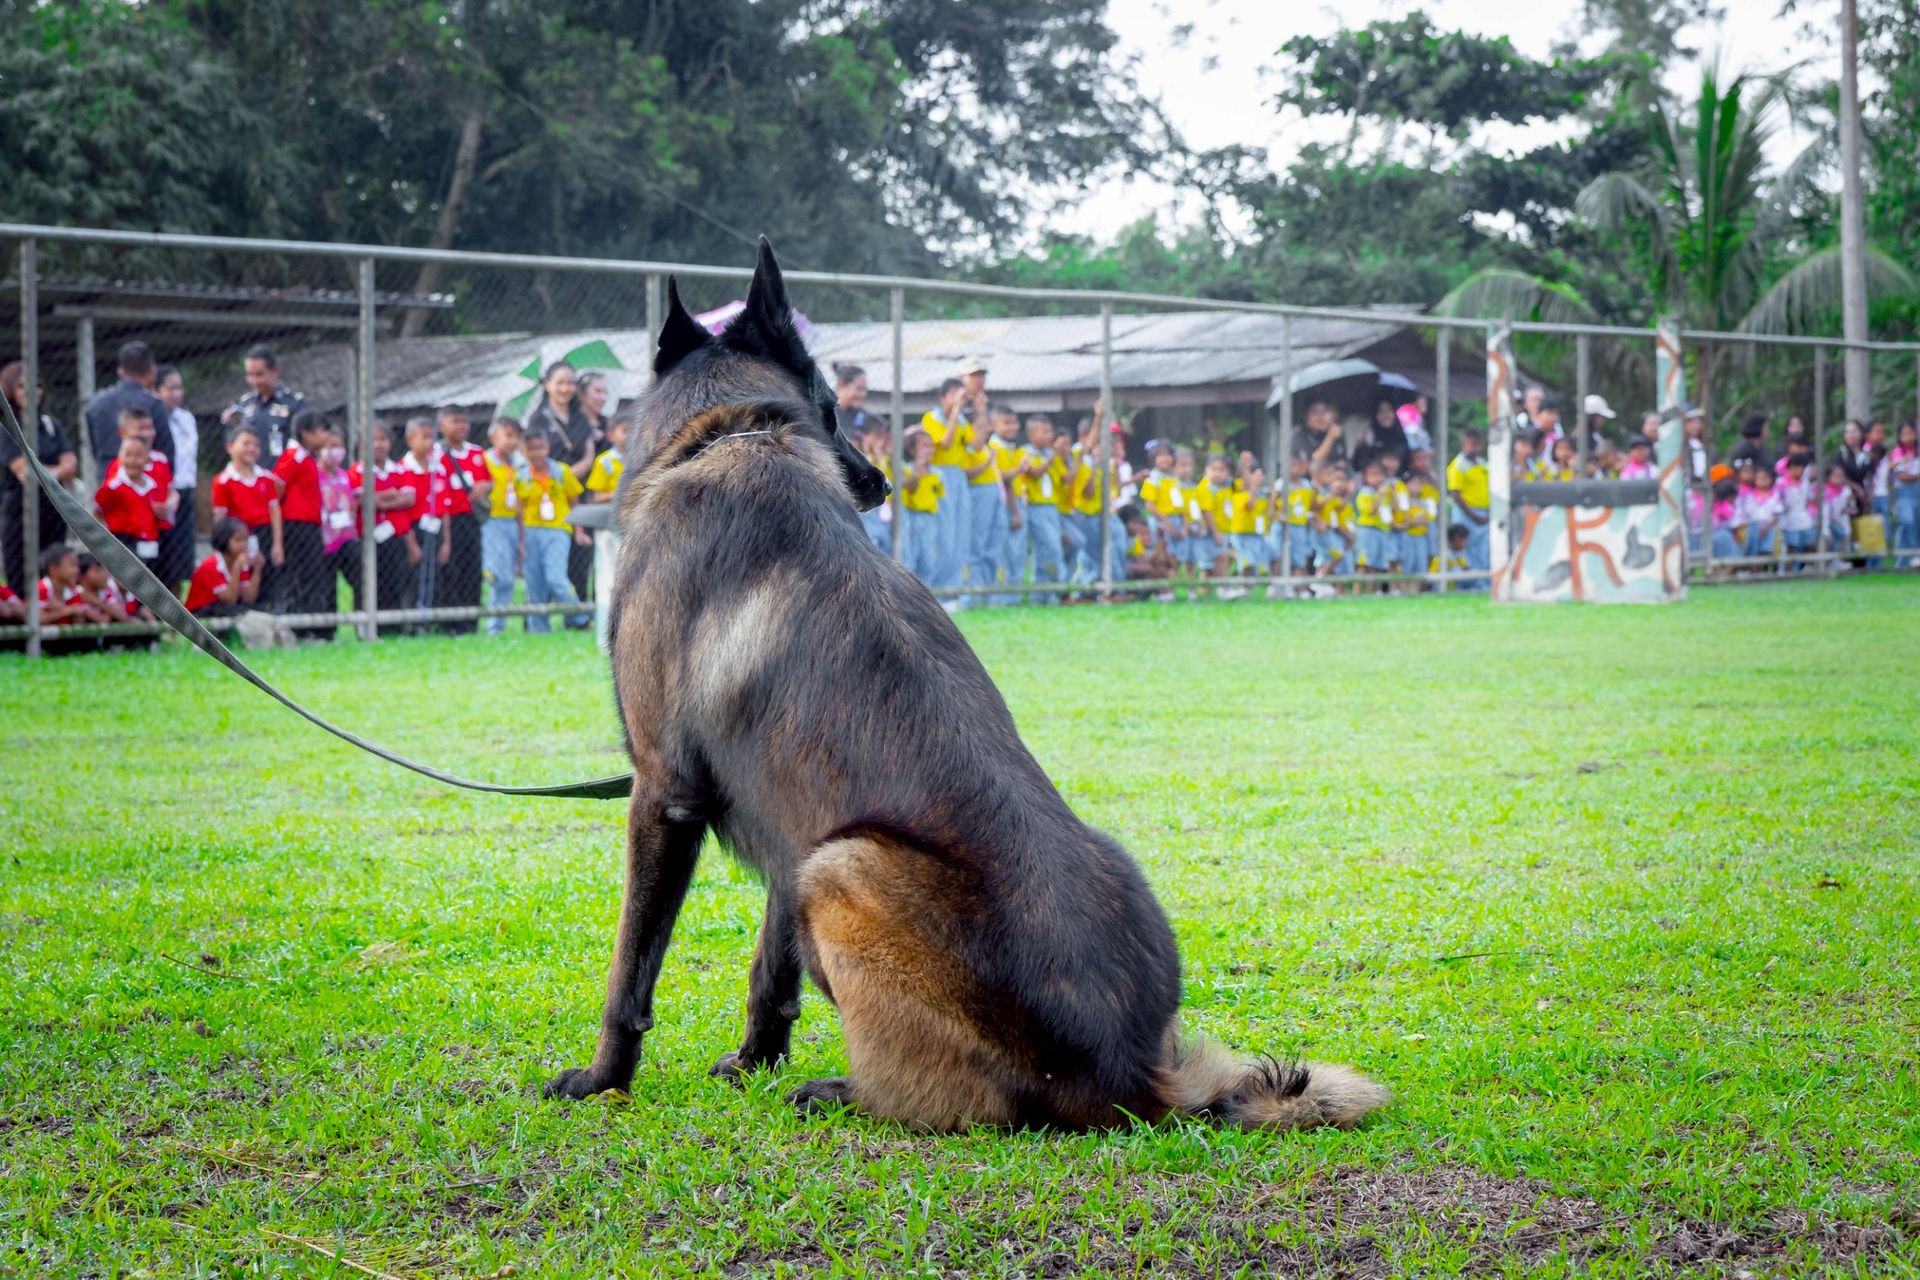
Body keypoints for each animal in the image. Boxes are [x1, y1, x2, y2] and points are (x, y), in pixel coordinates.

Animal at [543, 240, 1388, 1132]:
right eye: (834, 410)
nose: (879, 483)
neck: (733, 435)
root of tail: (1134, 1077)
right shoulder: (784, 825)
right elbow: (771, 976)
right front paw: (754, 1062)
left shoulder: (663, 793)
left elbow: (630, 969)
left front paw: (602, 1079)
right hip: (838, 859)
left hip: (843, 866)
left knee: (964, 1100)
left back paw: (848, 1094)